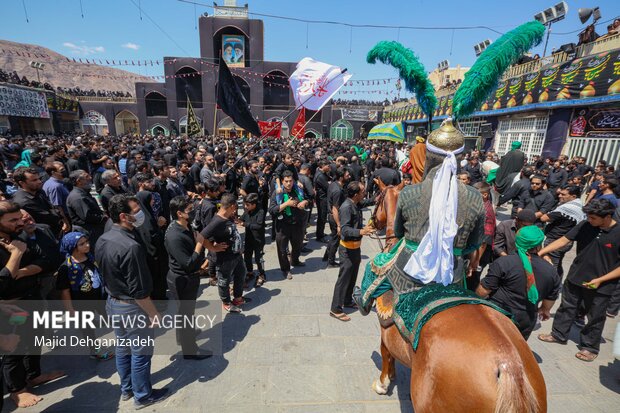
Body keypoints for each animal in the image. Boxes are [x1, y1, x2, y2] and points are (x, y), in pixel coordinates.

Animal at [368, 181, 548, 412]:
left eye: (378, 198)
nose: (372, 221)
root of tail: (509, 365)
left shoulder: (385, 329)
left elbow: (385, 353)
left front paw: (383, 382)